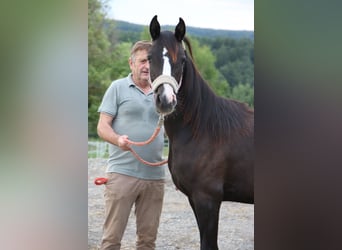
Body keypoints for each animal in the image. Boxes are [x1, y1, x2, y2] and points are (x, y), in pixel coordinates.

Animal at [148, 16, 252, 250]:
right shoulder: (193, 199)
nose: (165, 100)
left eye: (182, 60)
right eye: (149, 58)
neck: (203, 129)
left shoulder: (208, 200)